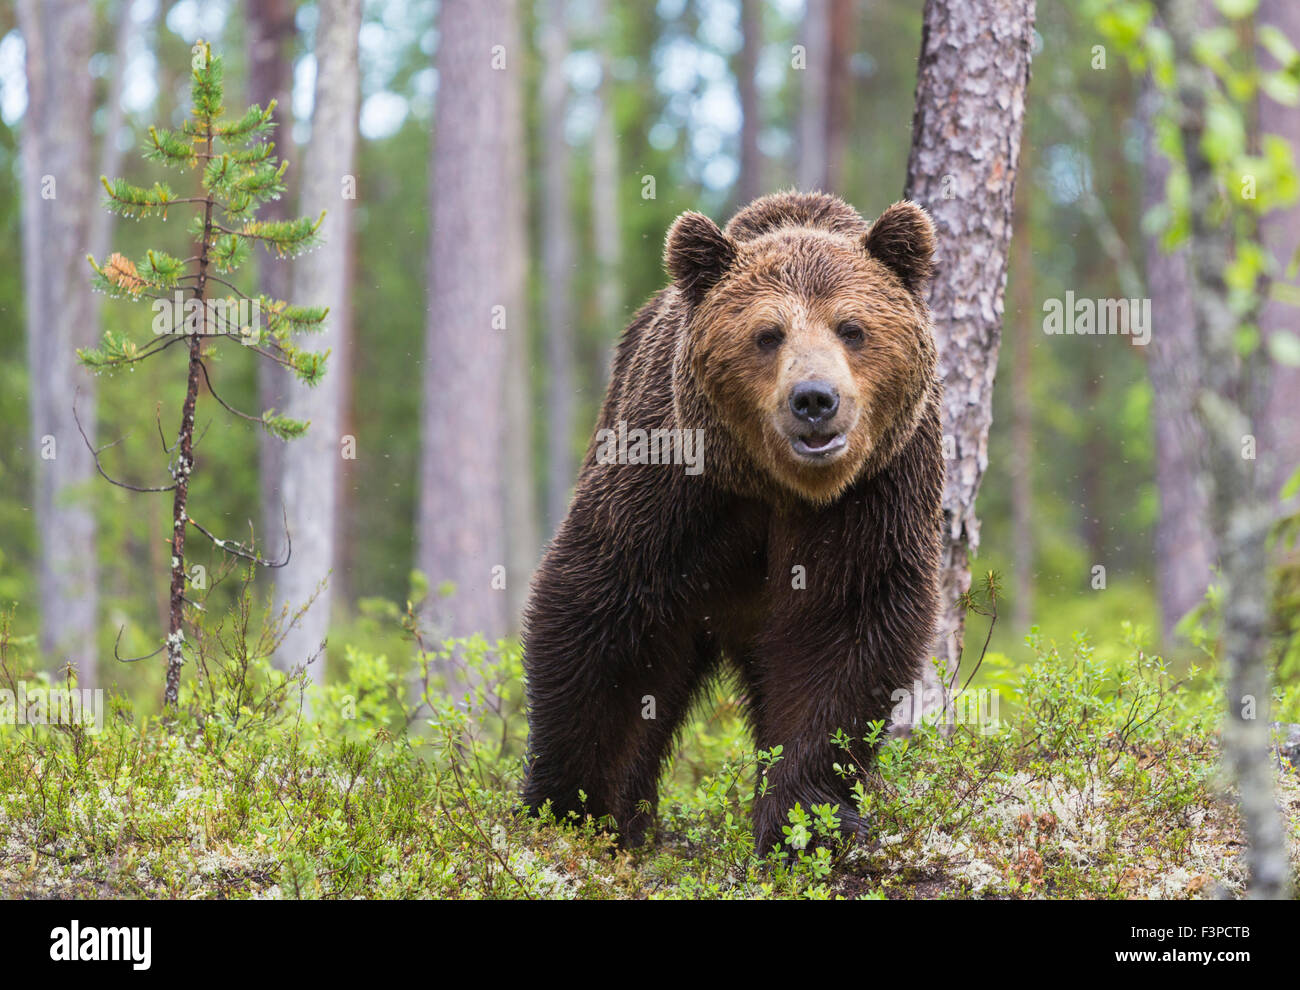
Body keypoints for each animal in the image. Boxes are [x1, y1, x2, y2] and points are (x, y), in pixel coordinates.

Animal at [520, 188, 946, 852]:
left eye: (852, 328)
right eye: (767, 334)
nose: (814, 398)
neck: (776, 487)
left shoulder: (875, 495)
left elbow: (843, 635)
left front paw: (806, 824)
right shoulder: (671, 484)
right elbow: (602, 621)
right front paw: (577, 810)